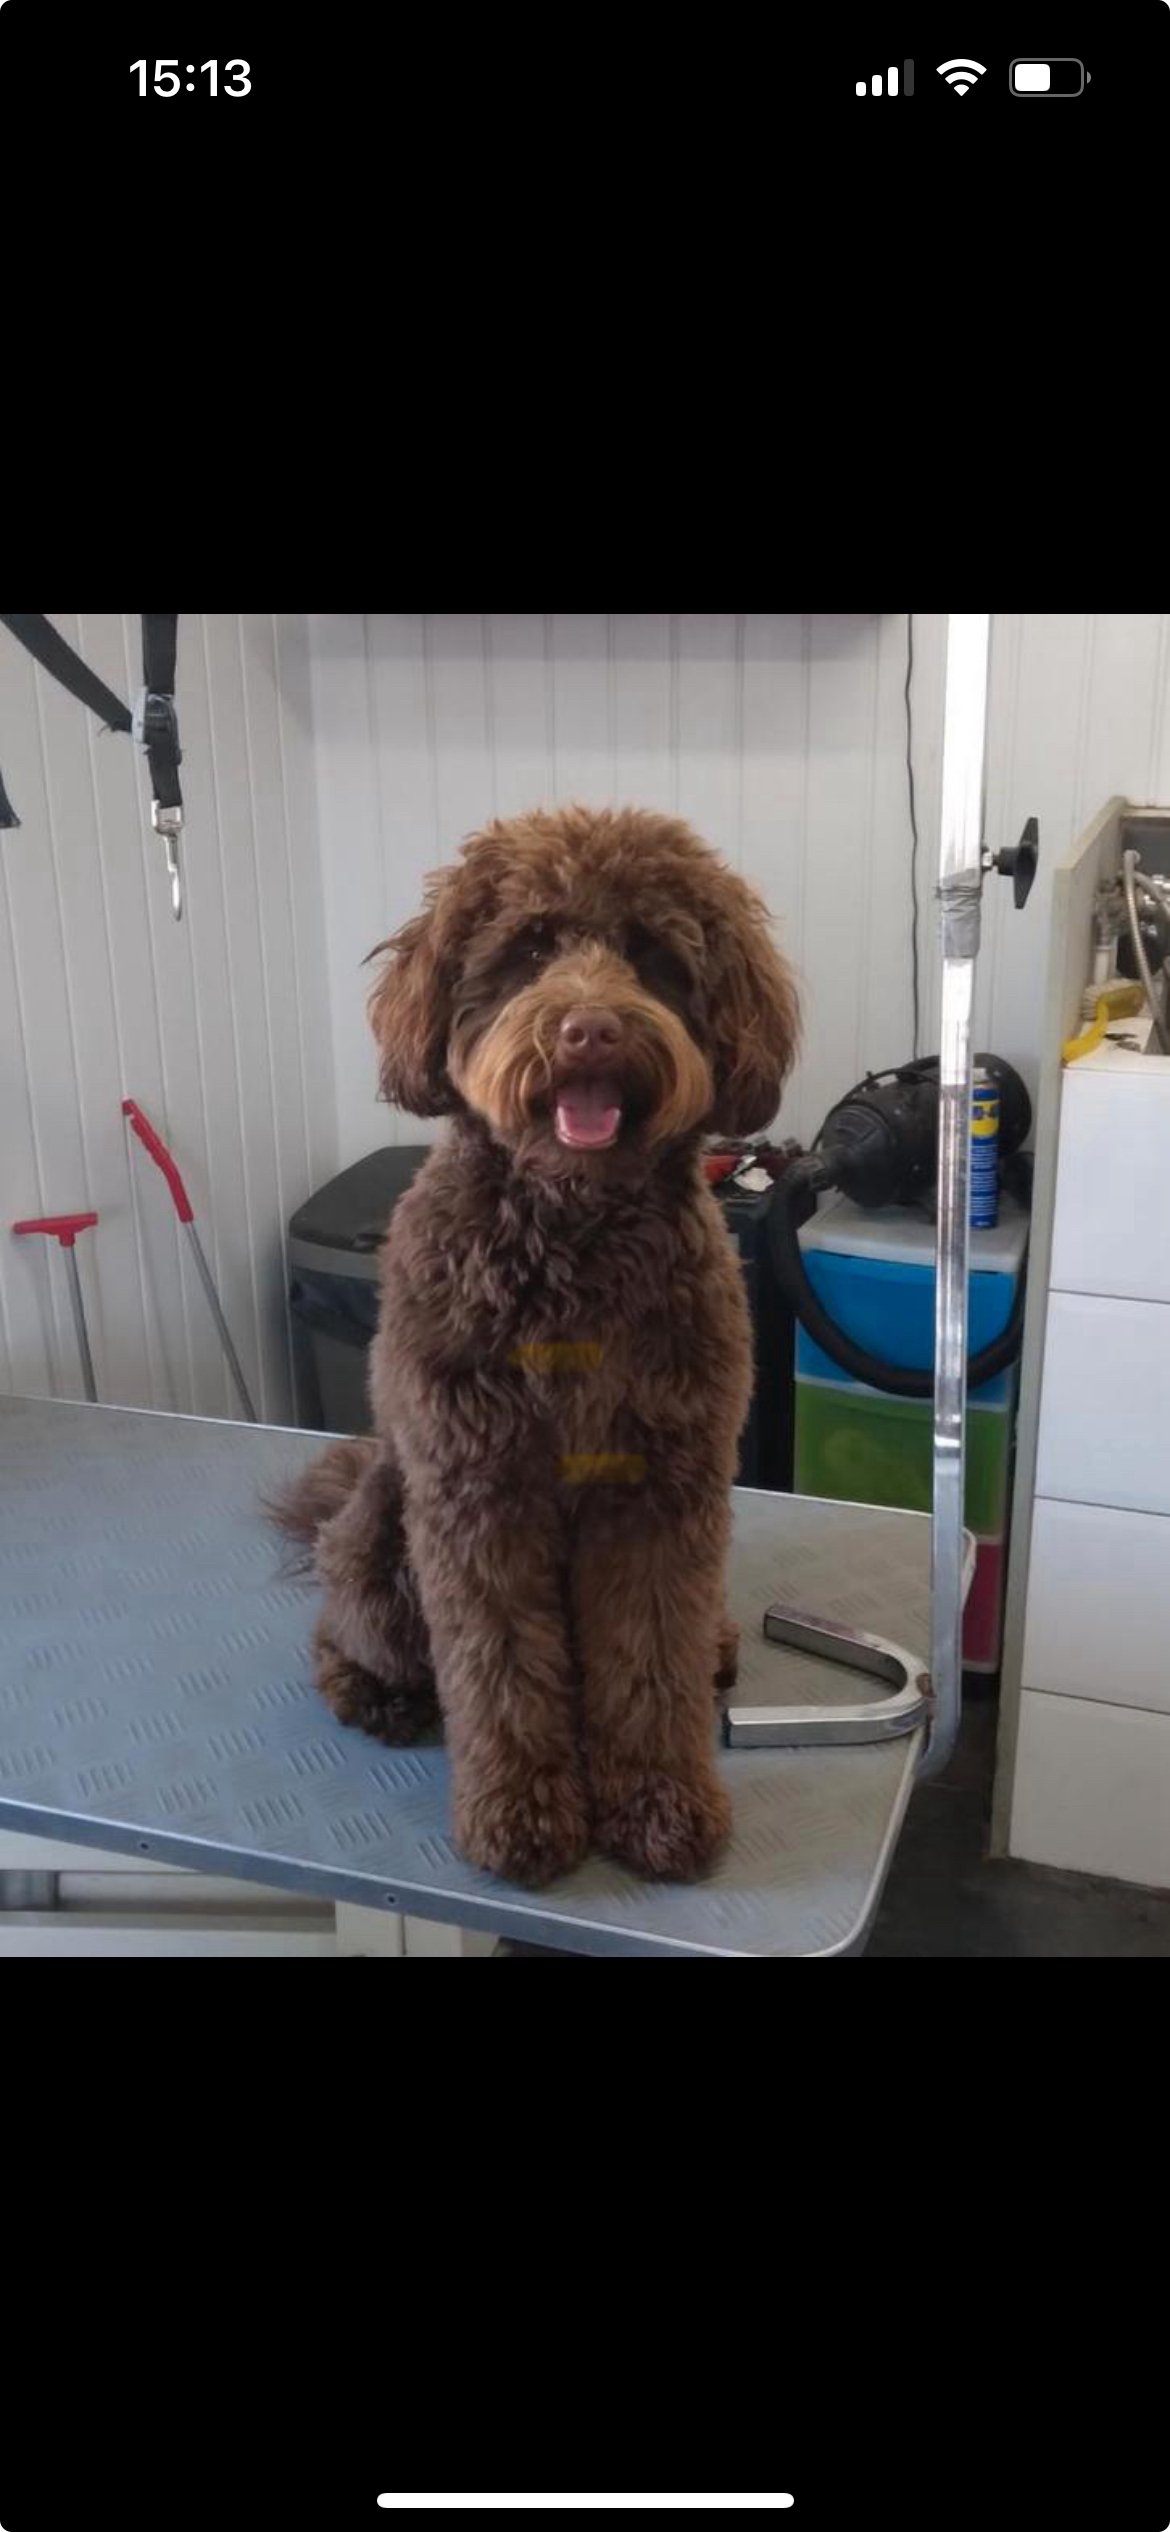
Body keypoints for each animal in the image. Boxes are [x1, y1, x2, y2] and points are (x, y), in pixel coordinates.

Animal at [273, 805, 800, 1883]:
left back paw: (718, 1649)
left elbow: (651, 1660)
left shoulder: (662, 1488)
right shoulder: (480, 1494)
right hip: (382, 1544)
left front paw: (659, 1805)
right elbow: (501, 1668)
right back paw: (376, 1692)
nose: (589, 1027)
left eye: (652, 956)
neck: (573, 1237)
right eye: (527, 950)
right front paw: (521, 1815)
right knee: (344, 1630)